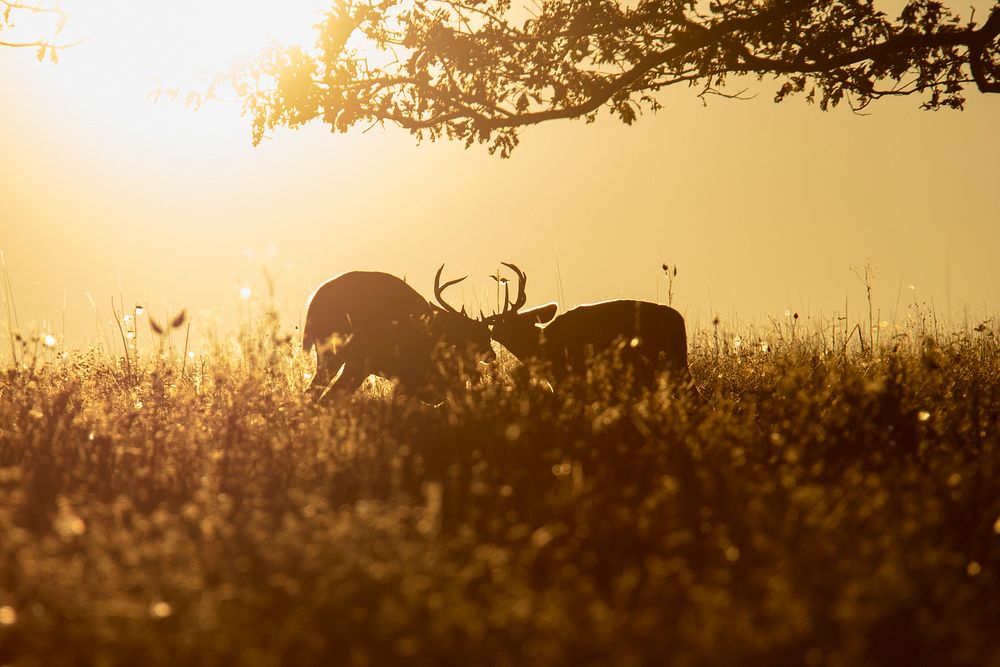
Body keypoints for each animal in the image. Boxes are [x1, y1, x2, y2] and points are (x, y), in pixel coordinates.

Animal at [302, 266, 494, 402]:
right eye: (469, 332)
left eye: (489, 334)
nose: (492, 355)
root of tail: (312, 301)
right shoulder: (406, 378)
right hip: (336, 354)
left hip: (352, 365)